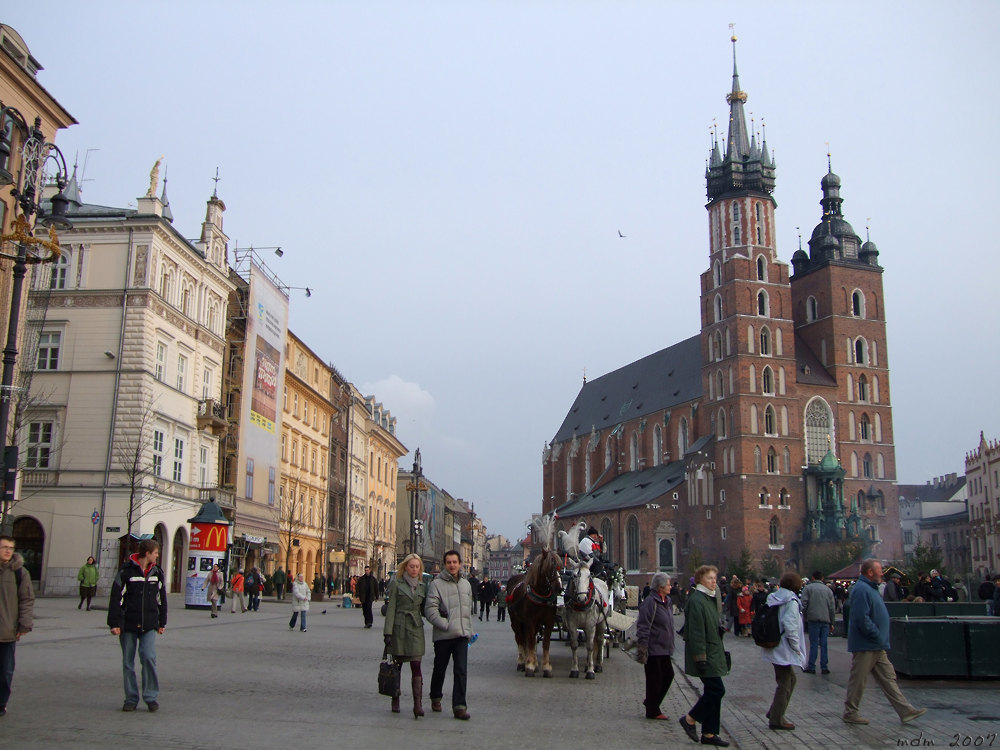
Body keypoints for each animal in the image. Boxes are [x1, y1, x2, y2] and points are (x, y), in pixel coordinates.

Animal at [508, 548, 564, 680]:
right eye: (549, 568)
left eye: (560, 567)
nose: (559, 588)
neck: (541, 596)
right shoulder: (530, 622)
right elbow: (530, 642)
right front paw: (530, 666)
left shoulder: (548, 622)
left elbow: (545, 643)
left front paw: (546, 667)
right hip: (515, 621)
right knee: (519, 638)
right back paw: (522, 662)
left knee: (528, 638)